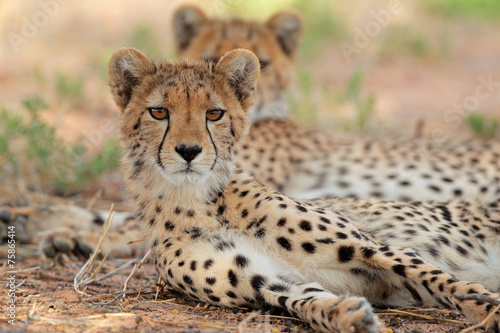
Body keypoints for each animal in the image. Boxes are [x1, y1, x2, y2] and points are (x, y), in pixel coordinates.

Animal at [106, 47, 500, 332]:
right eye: (159, 112)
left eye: (214, 114)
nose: (189, 151)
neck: (194, 200)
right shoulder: (265, 281)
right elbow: (306, 300)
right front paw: (346, 315)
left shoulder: (374, 248)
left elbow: (445, 281)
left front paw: (487, 308)